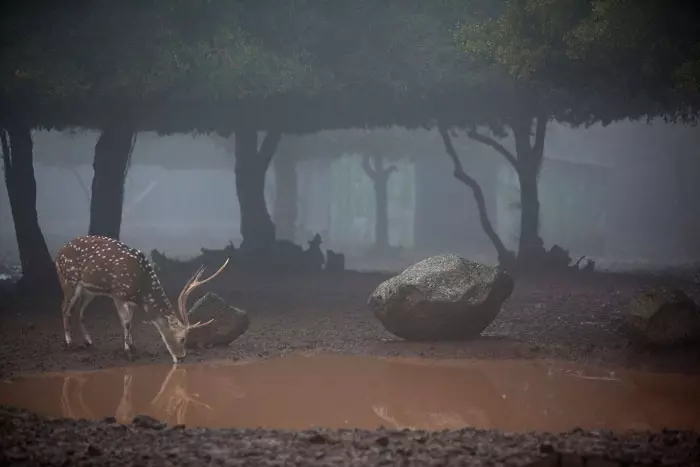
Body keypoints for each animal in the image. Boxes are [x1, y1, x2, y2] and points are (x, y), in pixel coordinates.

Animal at [56, 236, 230, 364]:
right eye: (182, 338)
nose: (181, 358)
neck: (141, 289)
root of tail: (58, 253)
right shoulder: (118, 293)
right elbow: (125, 322)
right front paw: (128, 353)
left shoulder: (131, 301)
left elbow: (131, 322)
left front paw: (133, 347)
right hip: (69, 281)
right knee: (64, 307)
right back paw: (69, 343)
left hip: (89, 290)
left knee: (79, 311)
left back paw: (89, 342)